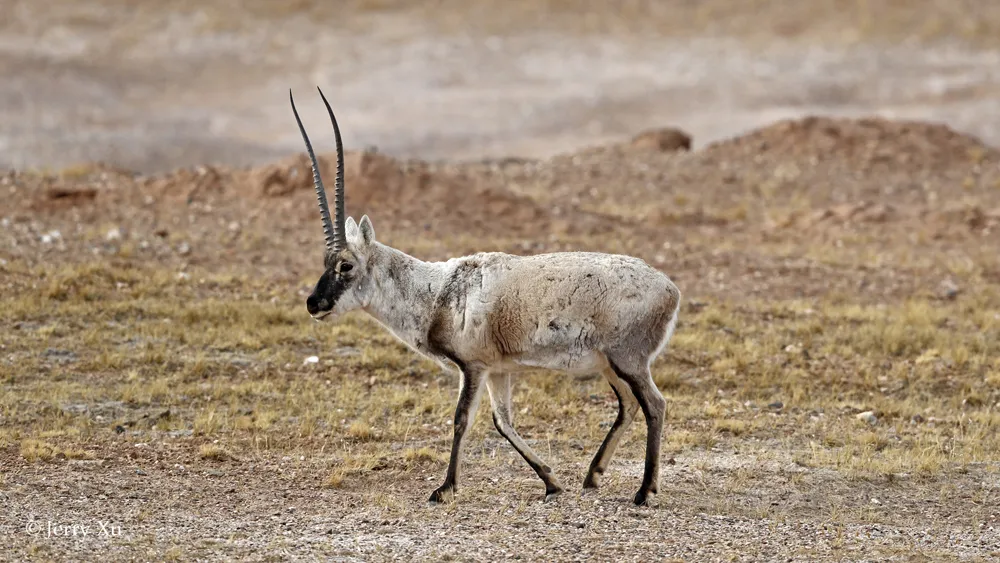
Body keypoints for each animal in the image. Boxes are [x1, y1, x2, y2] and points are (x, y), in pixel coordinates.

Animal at [290, 87, 680, 506]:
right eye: (325, 262)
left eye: (346, 265)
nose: (314, 304)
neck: (437, 290)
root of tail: (670, 289)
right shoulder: (498, 370)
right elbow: (502, 421)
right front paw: (551, 482)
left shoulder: (473, 367)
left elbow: (463, 419)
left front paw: (444, 488)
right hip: (610, 364)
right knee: (629, 405)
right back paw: (592, 476)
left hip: (628, 360)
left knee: (654, 405)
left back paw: (644, 490)